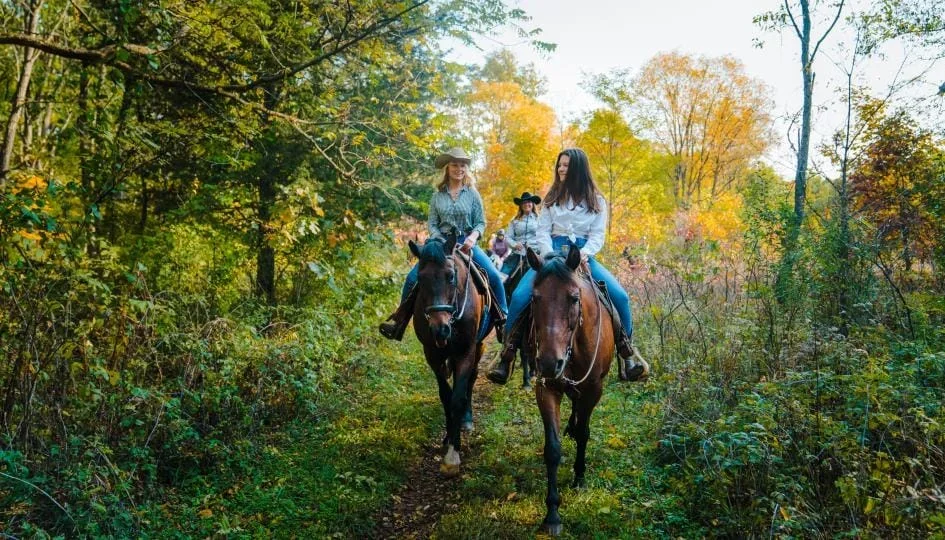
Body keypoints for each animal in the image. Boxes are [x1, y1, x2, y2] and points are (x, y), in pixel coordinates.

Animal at [408, 236, 493, 477]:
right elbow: (446, 396)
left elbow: (457, 398)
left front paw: (452, 457)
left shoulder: (465, 352)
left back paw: (467, 420)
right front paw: (447, 438)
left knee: (471, 380)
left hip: (478, 347)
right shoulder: (432, 354)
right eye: (420, 278)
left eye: (451, 276)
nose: (440, 329)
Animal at [523, 243, 615, 536]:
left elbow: (585, 433)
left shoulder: (594, 389)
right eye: (534, 298)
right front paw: (552, 513)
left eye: (574, 298)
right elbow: (552, 449)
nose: (549, 362)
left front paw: (579, 477)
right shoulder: (547, 389)